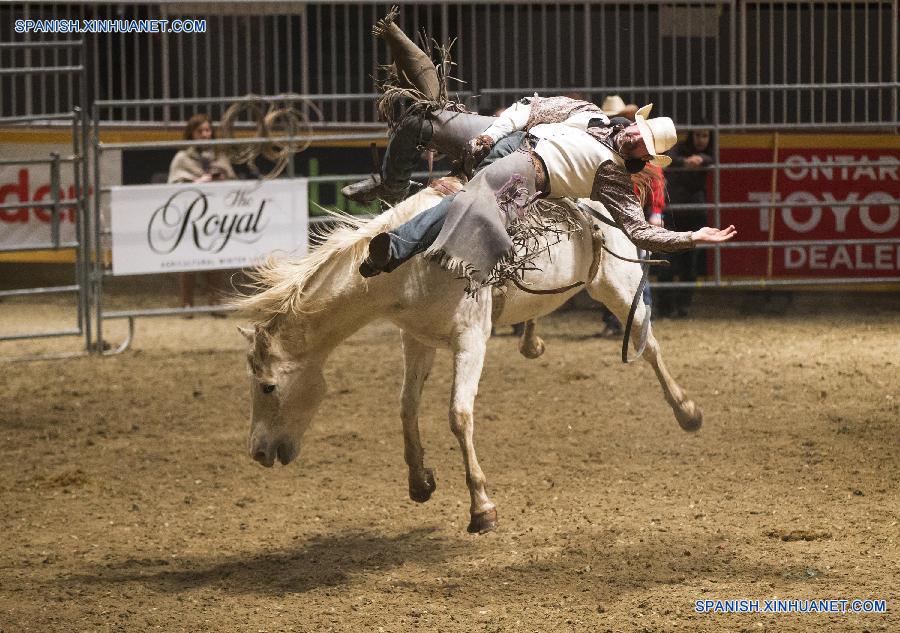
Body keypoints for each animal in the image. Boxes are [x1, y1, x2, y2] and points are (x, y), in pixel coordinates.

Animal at [234, 183, 704, 532]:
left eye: (268, 386)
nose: (257, 452)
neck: (411, 262)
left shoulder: (471, 339)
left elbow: (459, 415)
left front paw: (481, 507)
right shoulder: (416, 339)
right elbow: (406, 407)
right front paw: (419, 481)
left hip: (618, 284)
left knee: (649, 345)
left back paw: (687, 411)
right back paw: (532, 341)